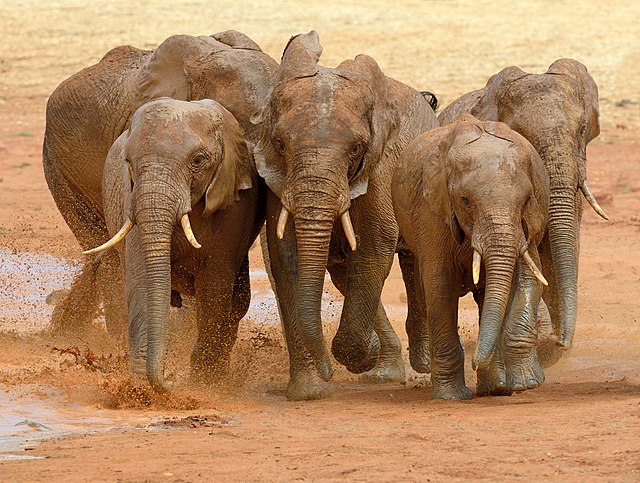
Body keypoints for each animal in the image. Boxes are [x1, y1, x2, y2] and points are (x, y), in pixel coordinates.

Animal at [83, 98, 262, 394]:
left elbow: (215, 285)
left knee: (236, 301)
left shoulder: (234, 204)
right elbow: (143, 281)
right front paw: (140, 390)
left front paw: (204, 382)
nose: (170, 380)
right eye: (128, 162)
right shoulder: (132, 200)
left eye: (198, 160)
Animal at [252, 31, 442, 400]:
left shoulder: (381, 164)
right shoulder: (276, 178)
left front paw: (359, 354)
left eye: (356, 149)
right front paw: (308, 392)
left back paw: (423, 362)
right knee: (344, 274)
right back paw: (384, 371)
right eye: (280, 145)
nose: (328, 374)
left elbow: (375, 243)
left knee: (414, 262)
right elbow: (286, 255)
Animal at [392, 115, 552, 398]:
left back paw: (496, 386)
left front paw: (526, 384)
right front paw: (451, 397)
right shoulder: (432, 212)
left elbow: (528, 277)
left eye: (526, 200)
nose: (475, 363)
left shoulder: (528, 222)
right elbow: (439, 284)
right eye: (465, 200)